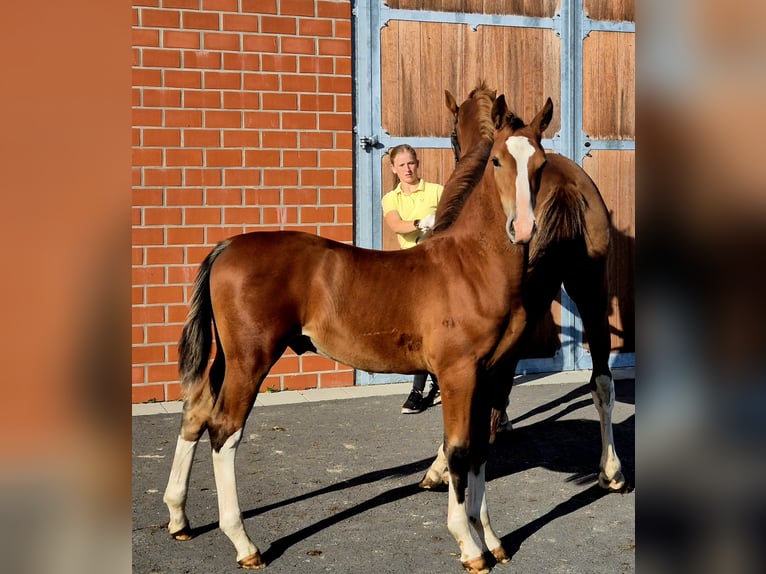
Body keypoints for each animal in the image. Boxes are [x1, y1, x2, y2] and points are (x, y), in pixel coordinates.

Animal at [163, 85, 542, 573]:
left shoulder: (491, 374)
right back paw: (244, 543)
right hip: (250, 358)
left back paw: (179, 518)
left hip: (226, 357)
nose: (523, 227)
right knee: (224, 429)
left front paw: (492, 539)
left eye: (541, 163)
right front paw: (469, 546)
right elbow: (458, 449)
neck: (471, 264)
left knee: (195, 412)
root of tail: (226, 246)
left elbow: (478, 450)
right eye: (496, 160)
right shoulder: (458, 373)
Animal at [418, 83, 625, 494]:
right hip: (591, 288)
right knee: (602, 379)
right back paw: (610, 469)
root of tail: (566, 187)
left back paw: (442, 464)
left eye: (451, 134)